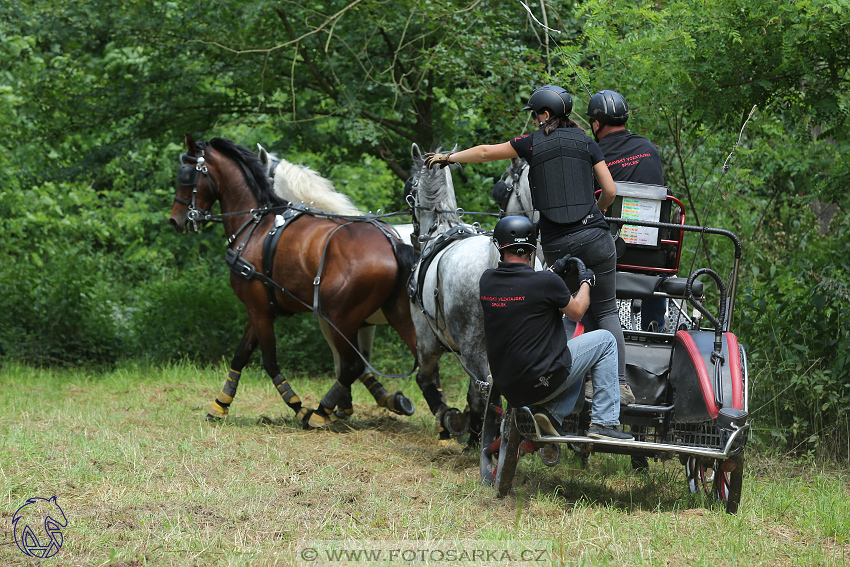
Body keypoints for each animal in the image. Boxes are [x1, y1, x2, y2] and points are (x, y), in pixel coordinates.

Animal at [168, 135, 418, 428]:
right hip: (396, 314)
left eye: (185, 175)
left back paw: (321, 412)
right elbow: (241, 355)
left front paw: (299, 406)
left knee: (352, 365)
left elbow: (270, 361)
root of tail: (392, 244)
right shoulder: (260, 308)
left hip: (342, 317)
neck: (256, 226)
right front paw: (220, 405)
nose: (175, 220)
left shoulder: (263, 311)